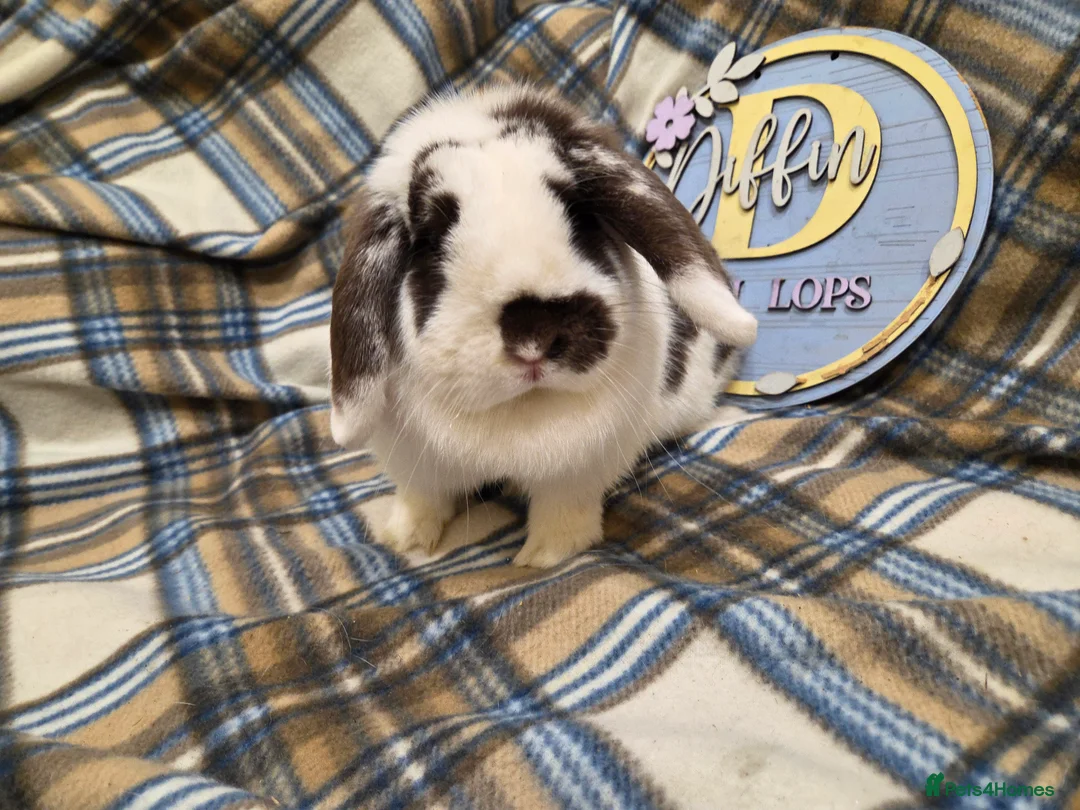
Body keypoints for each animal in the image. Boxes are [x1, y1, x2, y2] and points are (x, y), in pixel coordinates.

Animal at [329, 83, 757, 568]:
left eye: (579, 217)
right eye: (431, 244)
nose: (534, 335)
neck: (520, 410)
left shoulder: (578, 470)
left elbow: (563, 513)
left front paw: (543, 558)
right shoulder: (416, 463)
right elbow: (422, 498)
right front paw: (406, 541)